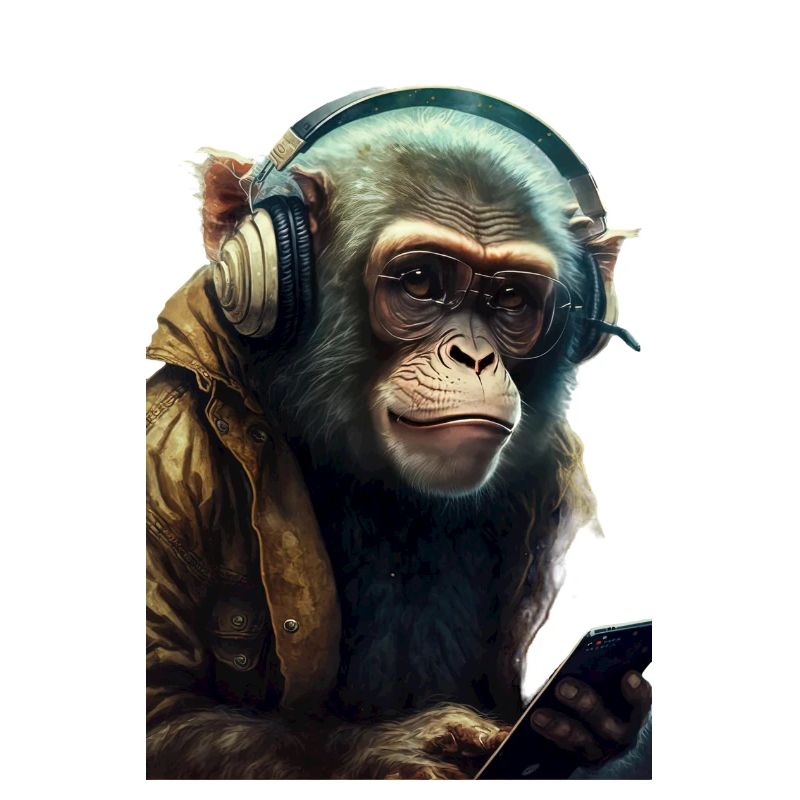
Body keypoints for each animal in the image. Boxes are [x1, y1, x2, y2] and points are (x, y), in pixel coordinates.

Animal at [146, 98, 651, 779]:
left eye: (511, 298)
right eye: (418, 282)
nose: (475, 357)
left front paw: (584, 716)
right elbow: (164, 710)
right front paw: (413, 747)